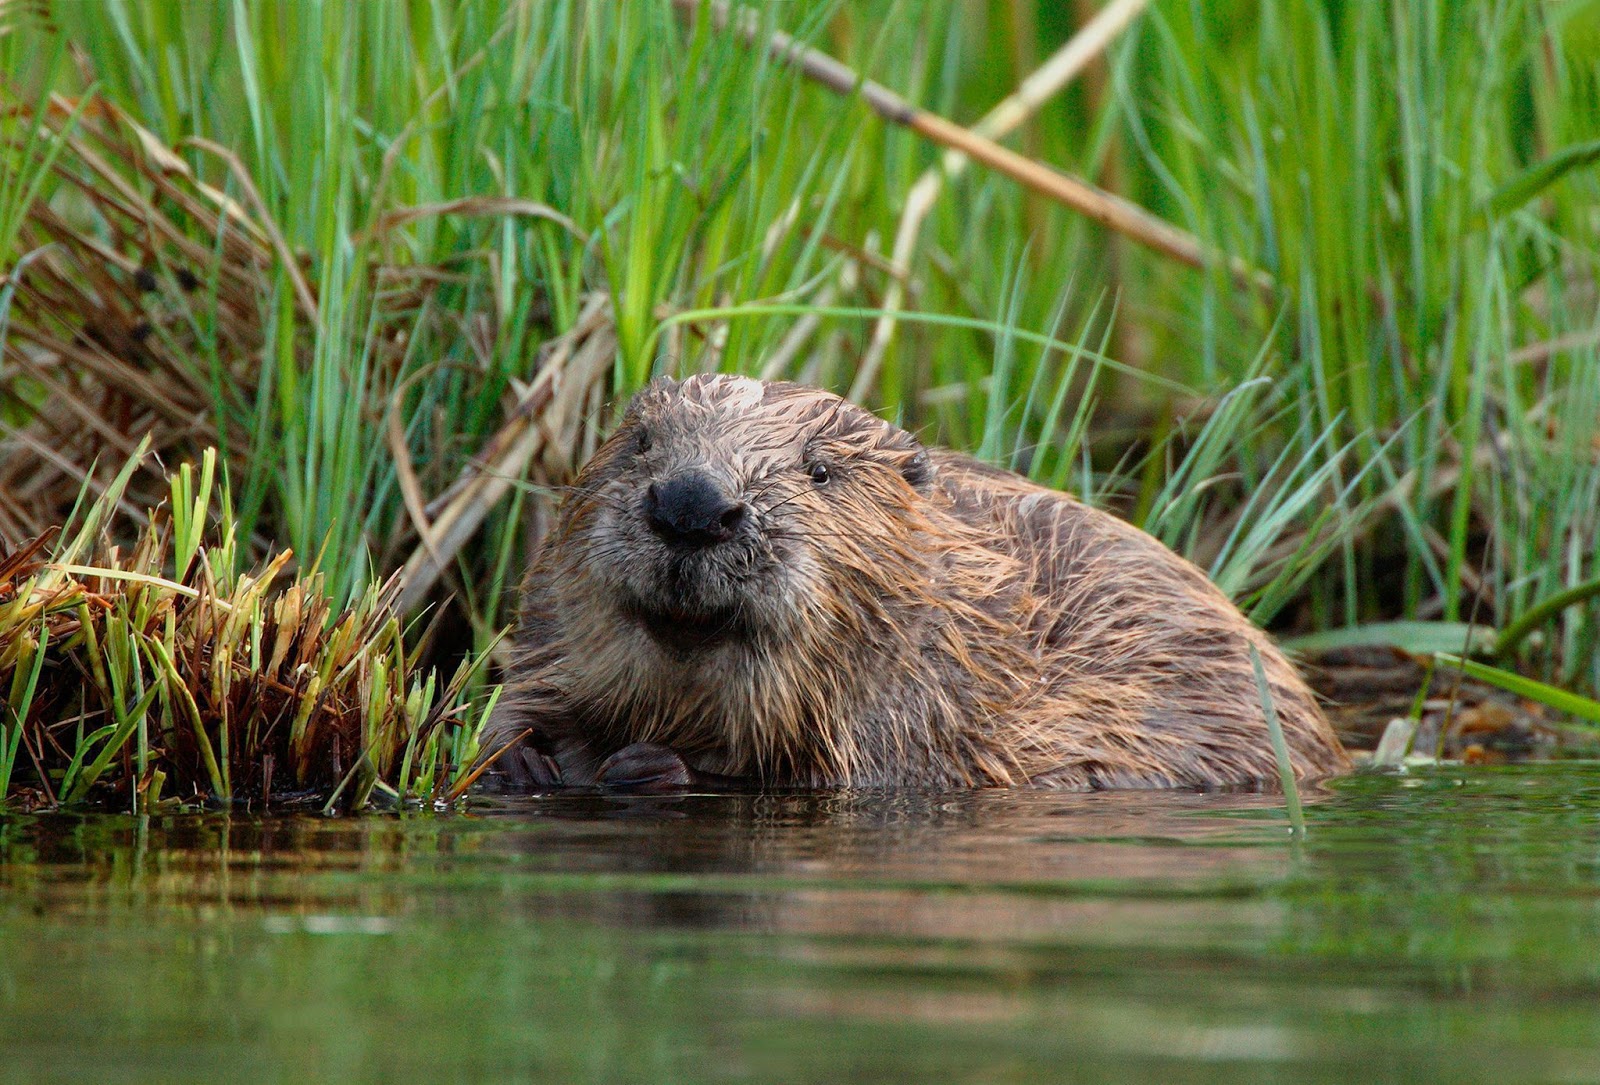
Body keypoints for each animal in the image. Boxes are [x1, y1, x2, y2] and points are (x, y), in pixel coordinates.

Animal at [476, 374, 1350, 790]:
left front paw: (648, 766)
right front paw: (521, 758)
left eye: (821, 471)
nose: (692, 504)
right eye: (642, 440)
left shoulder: (928, 708)